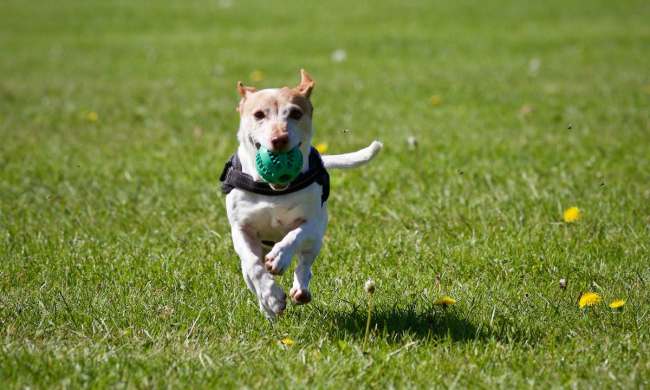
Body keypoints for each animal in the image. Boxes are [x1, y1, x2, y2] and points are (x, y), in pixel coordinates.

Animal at [220, 71, 382, 320]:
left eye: (296, 113)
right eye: (259, 114)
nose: (279, 139)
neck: (273, 190)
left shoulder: (312, 223)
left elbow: (295, 235)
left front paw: (279, 257)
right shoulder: (241, 229)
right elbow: (254, 266)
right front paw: (271, 297)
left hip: (316, 240)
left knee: (305, 263)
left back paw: (300, 289)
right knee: (250, 273)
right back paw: (267, 308)